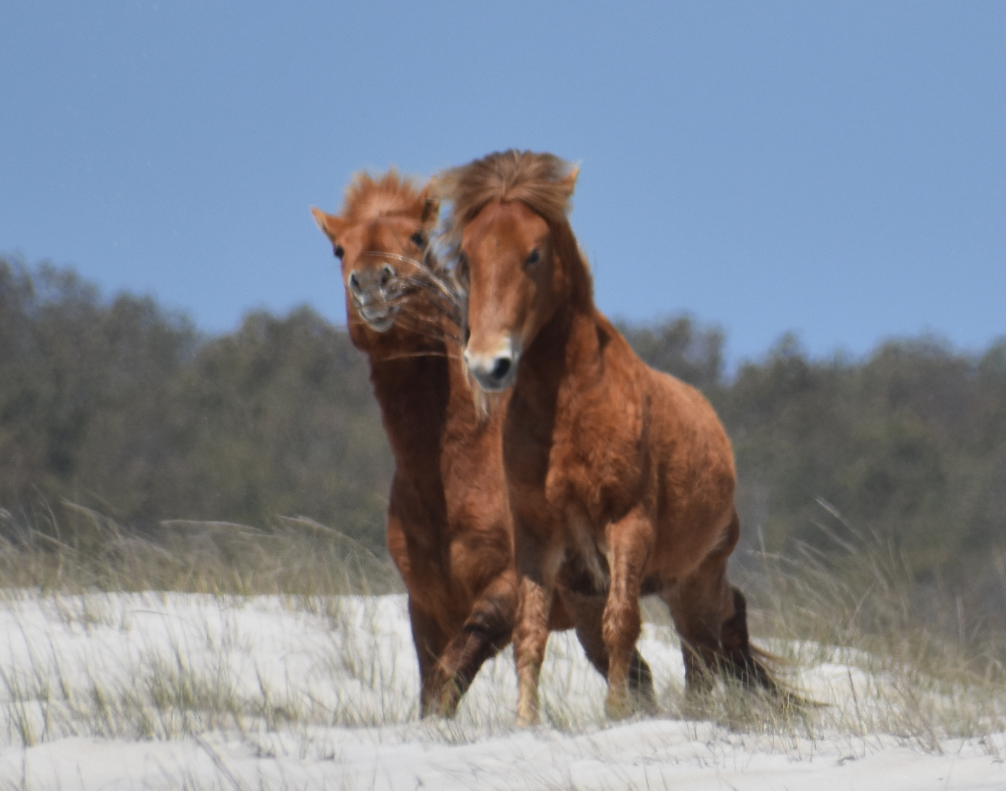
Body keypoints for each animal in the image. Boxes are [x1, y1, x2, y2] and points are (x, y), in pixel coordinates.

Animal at [311, 170, 521, 717]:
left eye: (418, 238)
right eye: (339, 249)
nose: (373, 283)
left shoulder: (505, 591)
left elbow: (451, 672)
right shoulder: (426, 605)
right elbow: (433, 689)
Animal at [436, 150, 780, 724]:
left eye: (534, 254)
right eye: (466, 258)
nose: (488, 365)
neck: (570, 412)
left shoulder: (627, 524)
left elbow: (623, 623)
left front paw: (617, 715)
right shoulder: (537, 538)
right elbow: (530, 634)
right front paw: (526, 722)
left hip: (695, 580)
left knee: (707, 645)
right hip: (600, 589)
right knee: (697, 650)